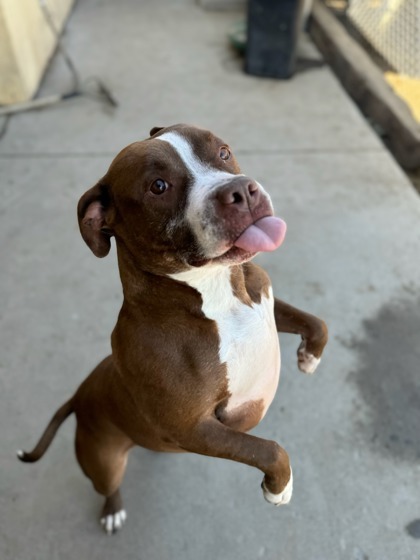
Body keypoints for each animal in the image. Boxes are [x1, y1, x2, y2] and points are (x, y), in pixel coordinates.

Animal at [18, 124, 328, 536]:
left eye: (223, 152)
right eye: (158, 186)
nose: (243, 191)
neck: (218, 293)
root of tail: (78, 396)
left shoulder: (264, 299)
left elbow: (317, 322)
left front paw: (309, 357)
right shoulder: (194, 428)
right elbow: (268, 448)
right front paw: (279, 487)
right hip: (104, 461)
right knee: (108, 486)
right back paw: (112, 511)